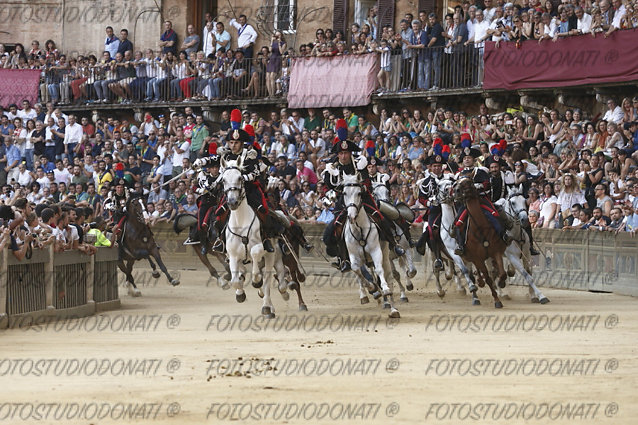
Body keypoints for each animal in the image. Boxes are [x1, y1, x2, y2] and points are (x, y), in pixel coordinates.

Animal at [221, 157, 276, 316]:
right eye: (223, 180)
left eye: (240, 178)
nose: (232, 202)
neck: (241, 222)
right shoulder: (233, 255)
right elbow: (235, 280)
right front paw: (240, 294)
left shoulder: (259, 247)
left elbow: (255, 255)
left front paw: (256, 282)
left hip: (271, 256)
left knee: (267, 279)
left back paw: (267, 306)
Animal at [342, 174, 398, 316]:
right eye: (344, 193)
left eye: (359, 193)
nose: (351, 216)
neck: (359, 230)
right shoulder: (353, 256)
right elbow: (357, 271)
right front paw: (370, 289)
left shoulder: (375, 251)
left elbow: (379, 270)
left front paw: (384, 289)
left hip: (385, 255)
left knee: (388, 276)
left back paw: (393, 308)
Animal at [456, 177, 510, 306]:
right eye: (458, 181)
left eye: (469, 182)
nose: (456, 191)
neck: (480, 228)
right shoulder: (477, 258)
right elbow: (488, 279)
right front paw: (497, 301)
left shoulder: (496, 252)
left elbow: (502, 273)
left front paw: (501, 283)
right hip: (470, 257)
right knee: (474, 272)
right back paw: (478, 285)